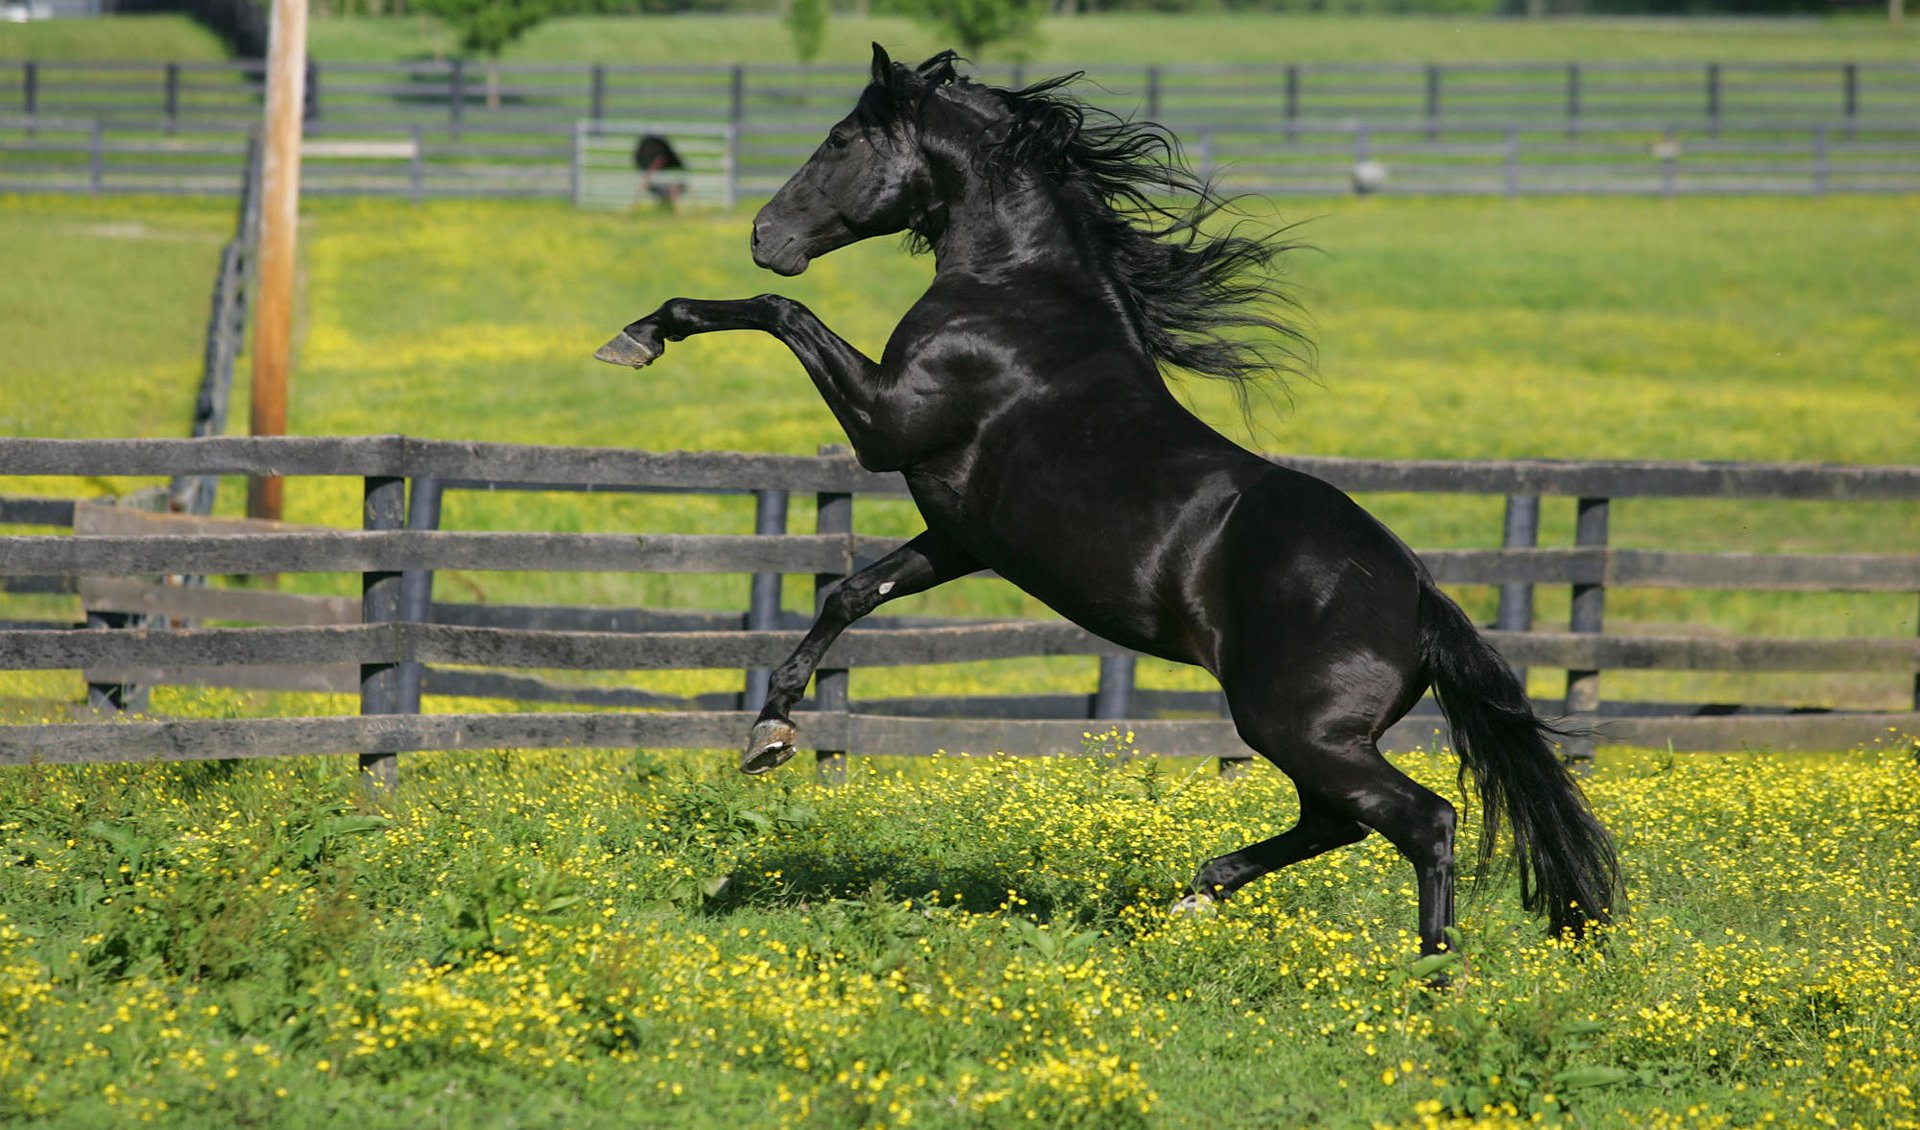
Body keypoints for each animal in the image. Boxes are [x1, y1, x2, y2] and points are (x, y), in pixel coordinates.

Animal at [599, 48, 1620, 955]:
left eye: (843, 137)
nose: (764, 236)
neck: (1015, 296)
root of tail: (1420, 598)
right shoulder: (960, 535)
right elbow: (850, 592)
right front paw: (769, 729)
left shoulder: (885, 425)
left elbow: (781, 317)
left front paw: (640, 334)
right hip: (1311, 737)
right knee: (1337, 823)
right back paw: (1200, 893)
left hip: (1299, 729)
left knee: (1423, 820)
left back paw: (1433, 980)